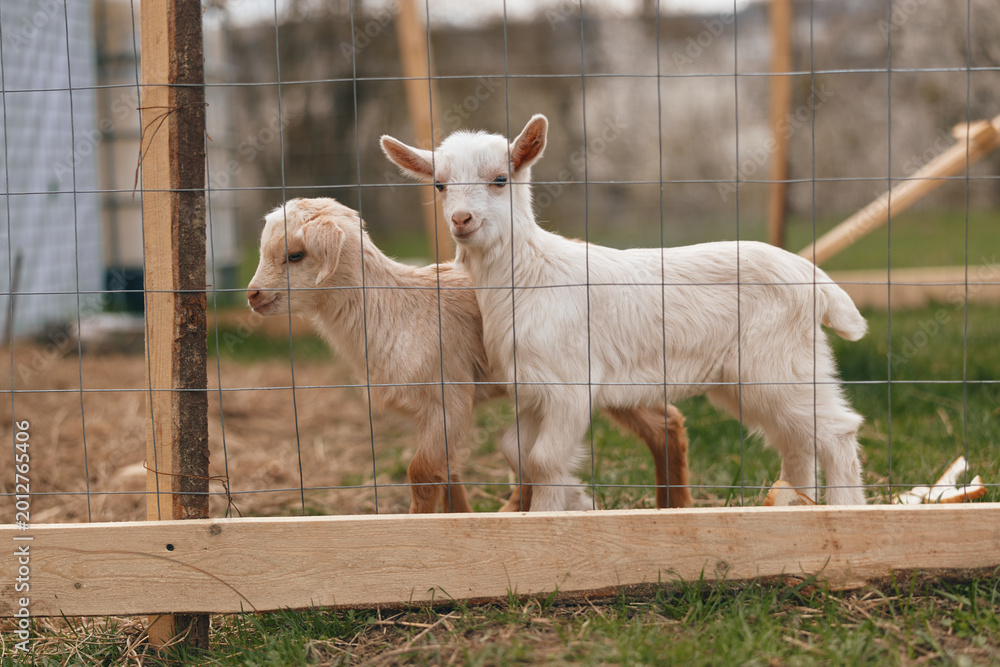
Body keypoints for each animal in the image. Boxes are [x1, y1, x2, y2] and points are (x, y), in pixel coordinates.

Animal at [246, 197, 692, 513]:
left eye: (296, 255)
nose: (252, 295)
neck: (393, 308)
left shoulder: (449, 397)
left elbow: (423, 472)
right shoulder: (429, 410)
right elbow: (449, 473)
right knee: (665, 423)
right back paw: (670, 507)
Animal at [381, 114, 869, 510]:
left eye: (500, 179)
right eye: (439, 185)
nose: (461, 220)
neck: (530, 274)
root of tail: (817, 281)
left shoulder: (570, 387)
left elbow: (543, 459)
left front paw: (548, 517)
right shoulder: (534, 388)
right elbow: (516, 451)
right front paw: (573, 499)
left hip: (779, 363)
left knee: (836, 430)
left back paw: (844, 509)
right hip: (751, 377)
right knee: (796, 439)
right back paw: (796, 504)